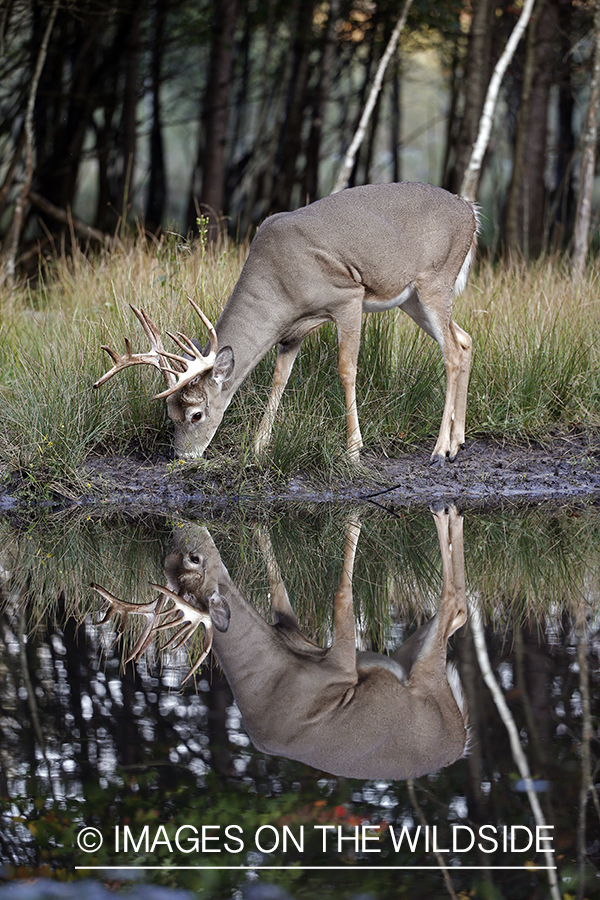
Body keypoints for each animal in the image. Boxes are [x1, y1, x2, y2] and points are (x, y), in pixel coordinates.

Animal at [92, 502, 468, 784]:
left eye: (190, 559)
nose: (181, 529)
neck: (271, 679)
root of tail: (461, 738)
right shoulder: (336, 668)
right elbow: (337, 596)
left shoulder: (295, 633)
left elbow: (281, 586)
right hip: (421, 671)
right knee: (455, 607)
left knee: (458, 610)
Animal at [94, 181, 478, 464]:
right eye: (169, 413)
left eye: (196, 414)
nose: (182, 456)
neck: (280, 284)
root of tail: (469, 210)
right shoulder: (292, 330)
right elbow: (279, 378)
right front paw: (258, 445)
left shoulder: (347, 297)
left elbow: (346, 369)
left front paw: (354, 449)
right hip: (412, 299)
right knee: (464, 340)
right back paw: (458, 442)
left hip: (435, 280)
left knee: (451, 353)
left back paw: (440, 450)